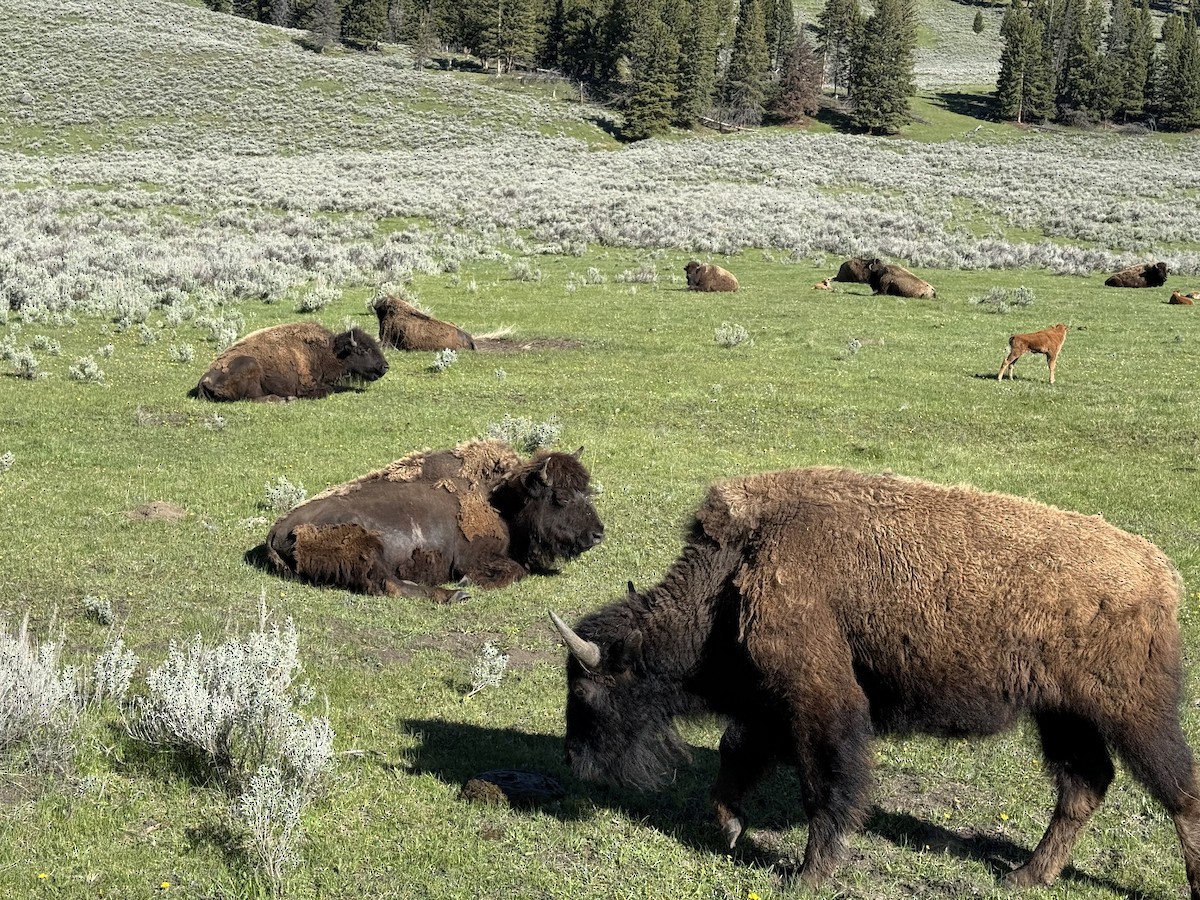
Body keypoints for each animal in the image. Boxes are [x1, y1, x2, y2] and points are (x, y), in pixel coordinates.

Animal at [192, 323, 388, 402]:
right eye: (364, 350)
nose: (385, 366)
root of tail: (203, 380)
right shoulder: (307, 385)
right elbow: (327, 390)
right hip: (250, 365)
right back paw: (286, 399)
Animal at [266, 439, 603, 601]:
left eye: (586, 491)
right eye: (561, 497)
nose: (598, 534)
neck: (499, 499)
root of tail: (277, 529)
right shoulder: (475, 558)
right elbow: (515, 571)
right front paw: (469, 581)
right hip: (365, 549)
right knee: (388, 585)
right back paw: (455, 594)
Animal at [551, 466, 1200, 897]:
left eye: (586, 692)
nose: (575, 762)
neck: (735, 568)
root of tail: (1161, 574)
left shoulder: (818, 698)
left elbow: (825, 782)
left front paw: (809, 872)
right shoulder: (771, 704)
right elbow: (737, 753)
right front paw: (732, 827)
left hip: (1133, 713)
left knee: (1179, 790)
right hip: (1062, 714)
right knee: (1084, 784)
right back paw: (1023, 875)